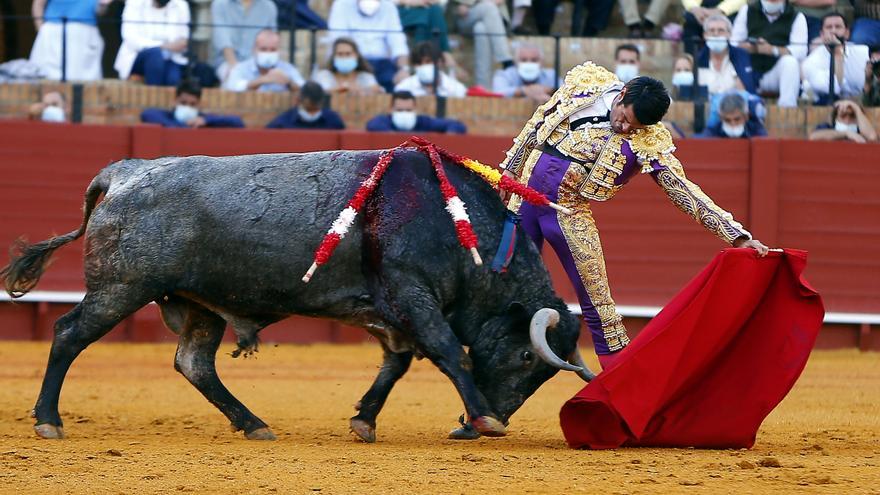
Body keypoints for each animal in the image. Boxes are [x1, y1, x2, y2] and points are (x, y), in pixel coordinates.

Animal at [0, 149, 596, 444]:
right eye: (526, 358)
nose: (482, 419)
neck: (449, 220)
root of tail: (124, 172)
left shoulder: (389, 312)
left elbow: (397, 364)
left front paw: (365, 420)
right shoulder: (412, 295)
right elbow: (451, 353)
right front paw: (485, 419)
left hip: (198, 304)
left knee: (194, 363)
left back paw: (253, 424)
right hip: (121, 289)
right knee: (68, 334)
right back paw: (48, 421)